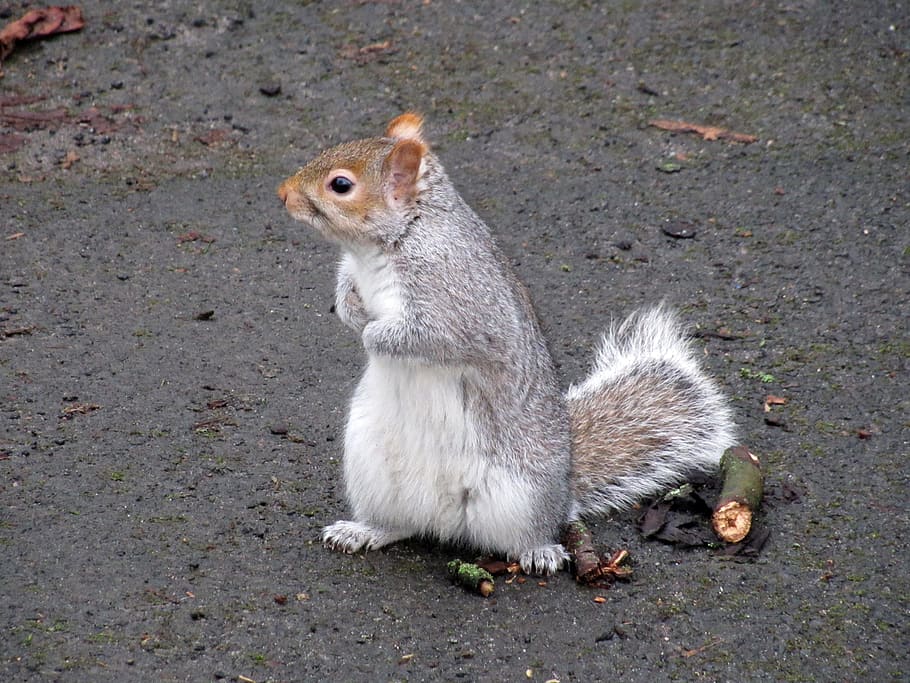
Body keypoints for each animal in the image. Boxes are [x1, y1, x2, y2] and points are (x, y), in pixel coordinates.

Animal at [277, 113, 736, 575]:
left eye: (340, 185)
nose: (283, 194)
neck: (392, 242)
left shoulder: (458, 301)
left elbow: (431, 337)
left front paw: (373, 335)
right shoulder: (354, 270)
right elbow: (346, 290)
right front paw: (352, 312)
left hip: (520, 497)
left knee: (524, 535)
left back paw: (539, 552)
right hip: (372, 471)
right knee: (400, 525)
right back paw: (362, 531)